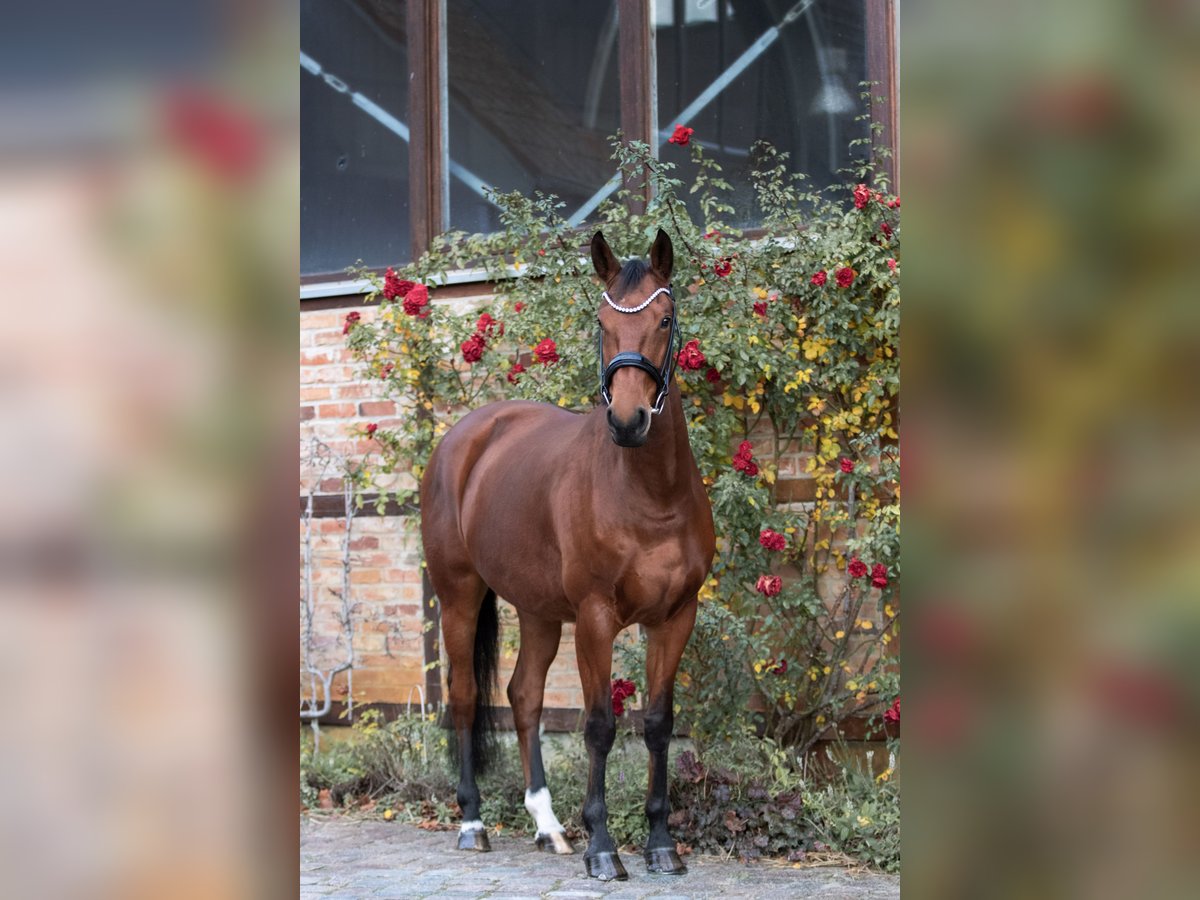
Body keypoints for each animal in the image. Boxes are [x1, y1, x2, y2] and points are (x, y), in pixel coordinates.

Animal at [420, 229, 710, 883]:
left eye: (664, 319)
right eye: (603, 322)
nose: (627, 421)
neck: (651, 498)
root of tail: (465, 437)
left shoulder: (675, 617)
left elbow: (658, 725)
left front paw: (661, 844)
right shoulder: (597, 618)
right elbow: (600, 726)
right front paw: (603, 848)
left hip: (539, 611)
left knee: (523, 695)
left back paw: (548, 826)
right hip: (460, 595)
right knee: (465, 696)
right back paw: (473, 823)